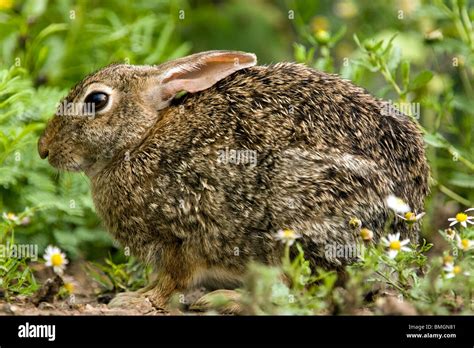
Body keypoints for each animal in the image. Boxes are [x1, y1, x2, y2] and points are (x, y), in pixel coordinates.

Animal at [37, 49, 430, 310]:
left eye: (96, 100)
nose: (43, 149)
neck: (139, 140)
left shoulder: (179, 234)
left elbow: (171, 281)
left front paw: (135, 300)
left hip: (296, 220)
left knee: (306, 292)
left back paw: (226, 300)